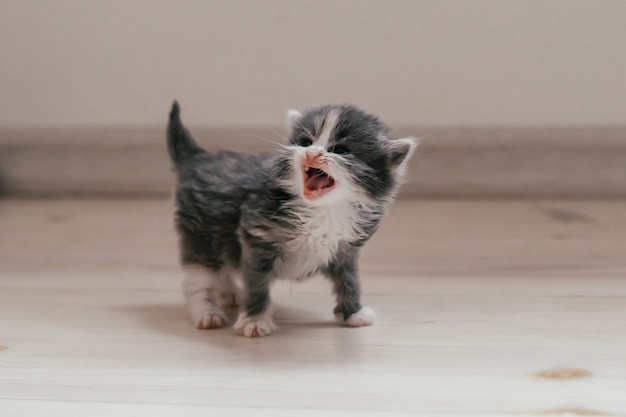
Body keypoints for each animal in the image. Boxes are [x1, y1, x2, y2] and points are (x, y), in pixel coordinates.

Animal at [168, 102, 416, 336]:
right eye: (305, 142)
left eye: (341, 150)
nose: (311, 153)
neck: (323, 210)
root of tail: (198, 158)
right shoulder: (257, 236)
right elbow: (256, 281)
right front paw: (255, 321)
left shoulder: (345, 249)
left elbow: (350, 279)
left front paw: (353, 312)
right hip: (200, 235)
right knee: (198, 279)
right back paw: (207, 313)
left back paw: (228, 292)